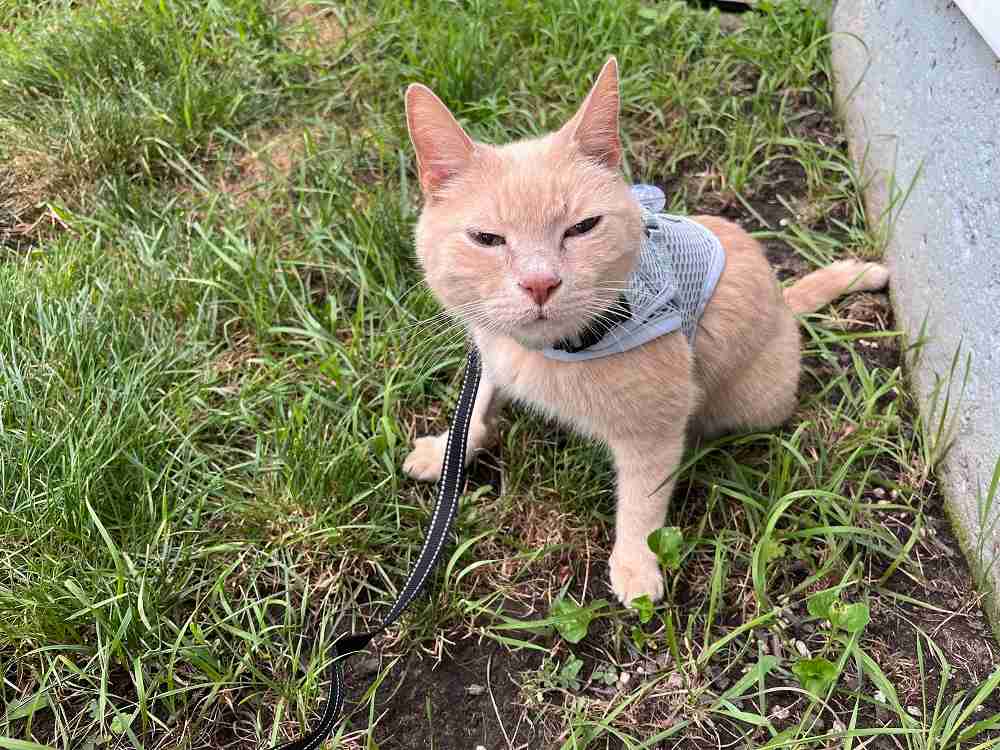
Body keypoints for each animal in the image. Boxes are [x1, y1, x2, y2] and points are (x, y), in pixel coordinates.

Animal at [402, 57, 888, 604]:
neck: (552, 349)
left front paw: (635, 567)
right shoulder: (490, 349)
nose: (540, 283)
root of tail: (784, 300)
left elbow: (641, 504)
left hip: (754, 401)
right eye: (486, 239)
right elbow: (478, 403)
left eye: (582, 228)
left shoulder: (656, 429)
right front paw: (448, 449)